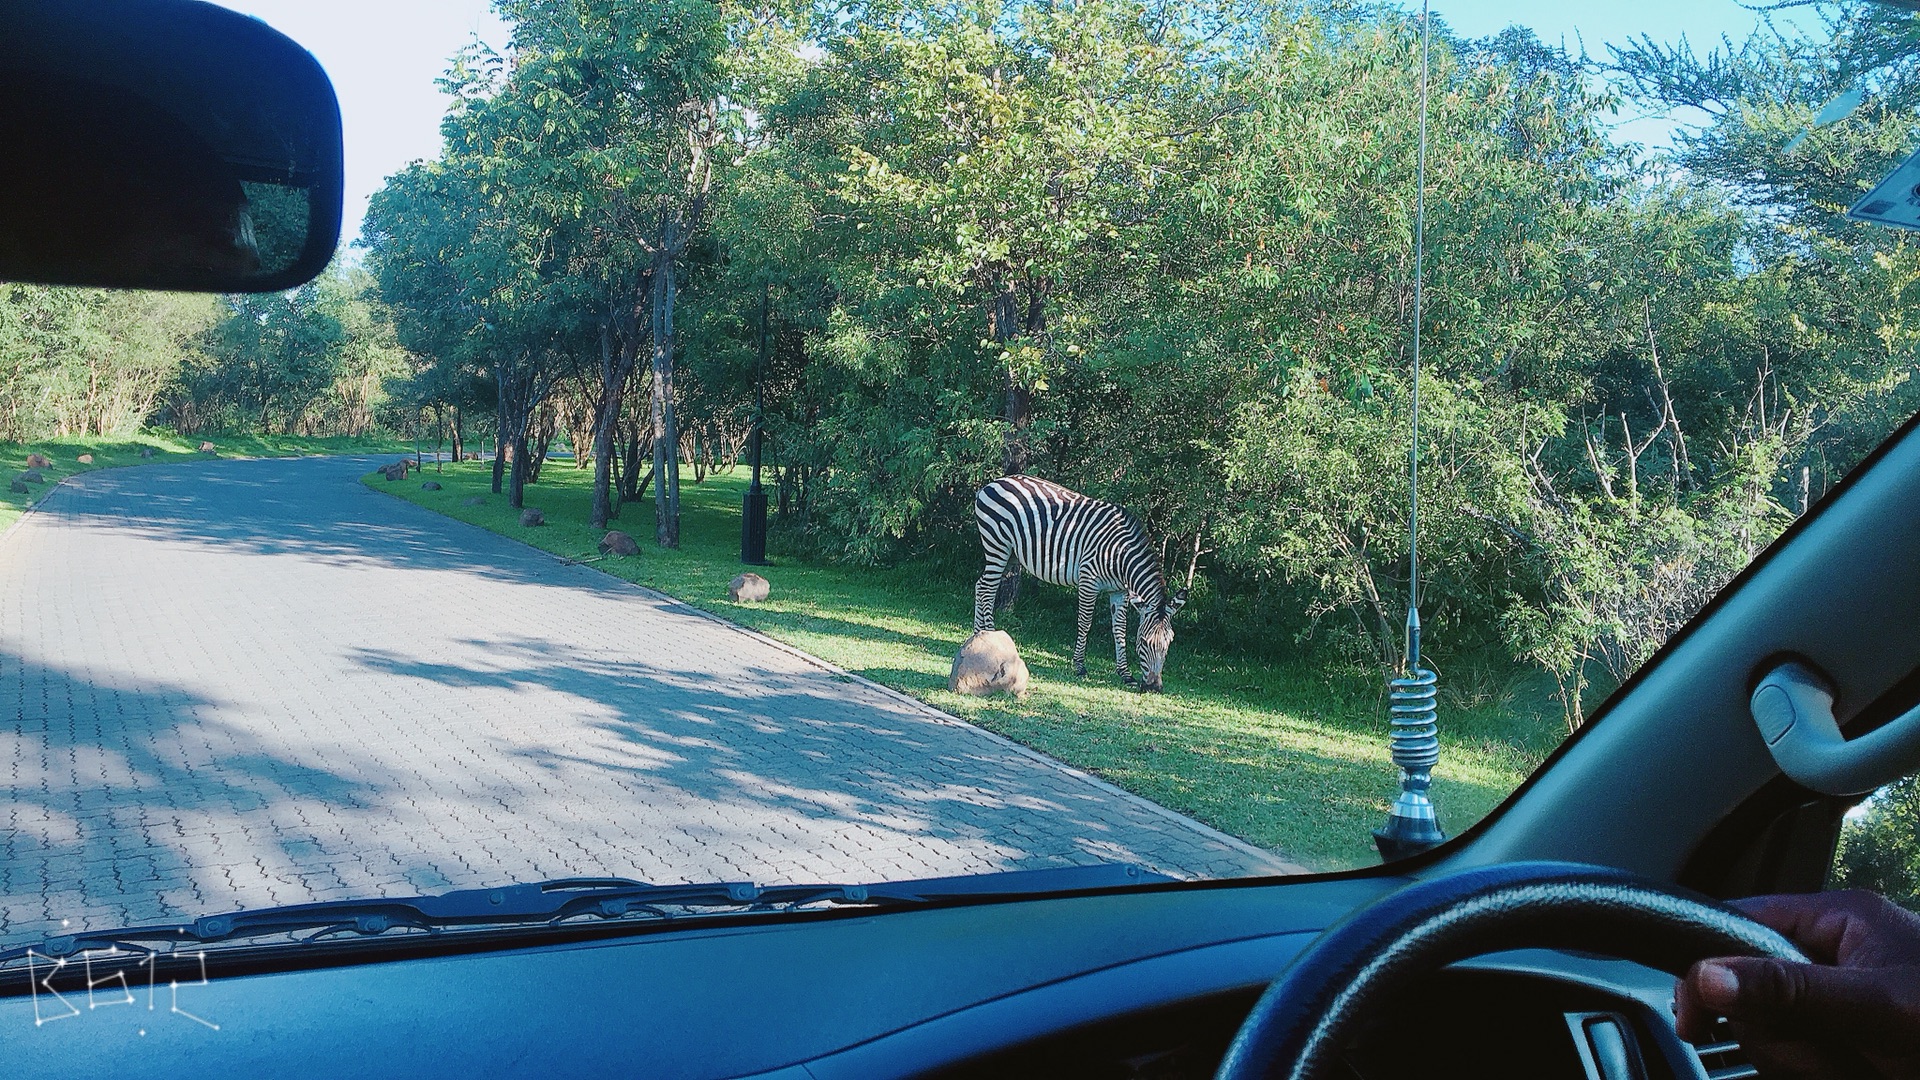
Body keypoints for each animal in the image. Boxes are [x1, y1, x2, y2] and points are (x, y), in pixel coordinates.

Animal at [975, 472, 1182, 687]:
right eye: (1143, 641)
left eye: (1169, 642)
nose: (1154, 687)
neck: (1120, 556)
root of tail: (993, 483)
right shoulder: (1088, 580)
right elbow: (1085, 622)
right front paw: (1080, 666)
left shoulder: (1119, 591)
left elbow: (1119, 630)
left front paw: (1125, 674)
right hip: (998, 545)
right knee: (988, 591)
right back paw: (993, 641)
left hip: (1010, 554)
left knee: (981, 585)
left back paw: (980, 638)